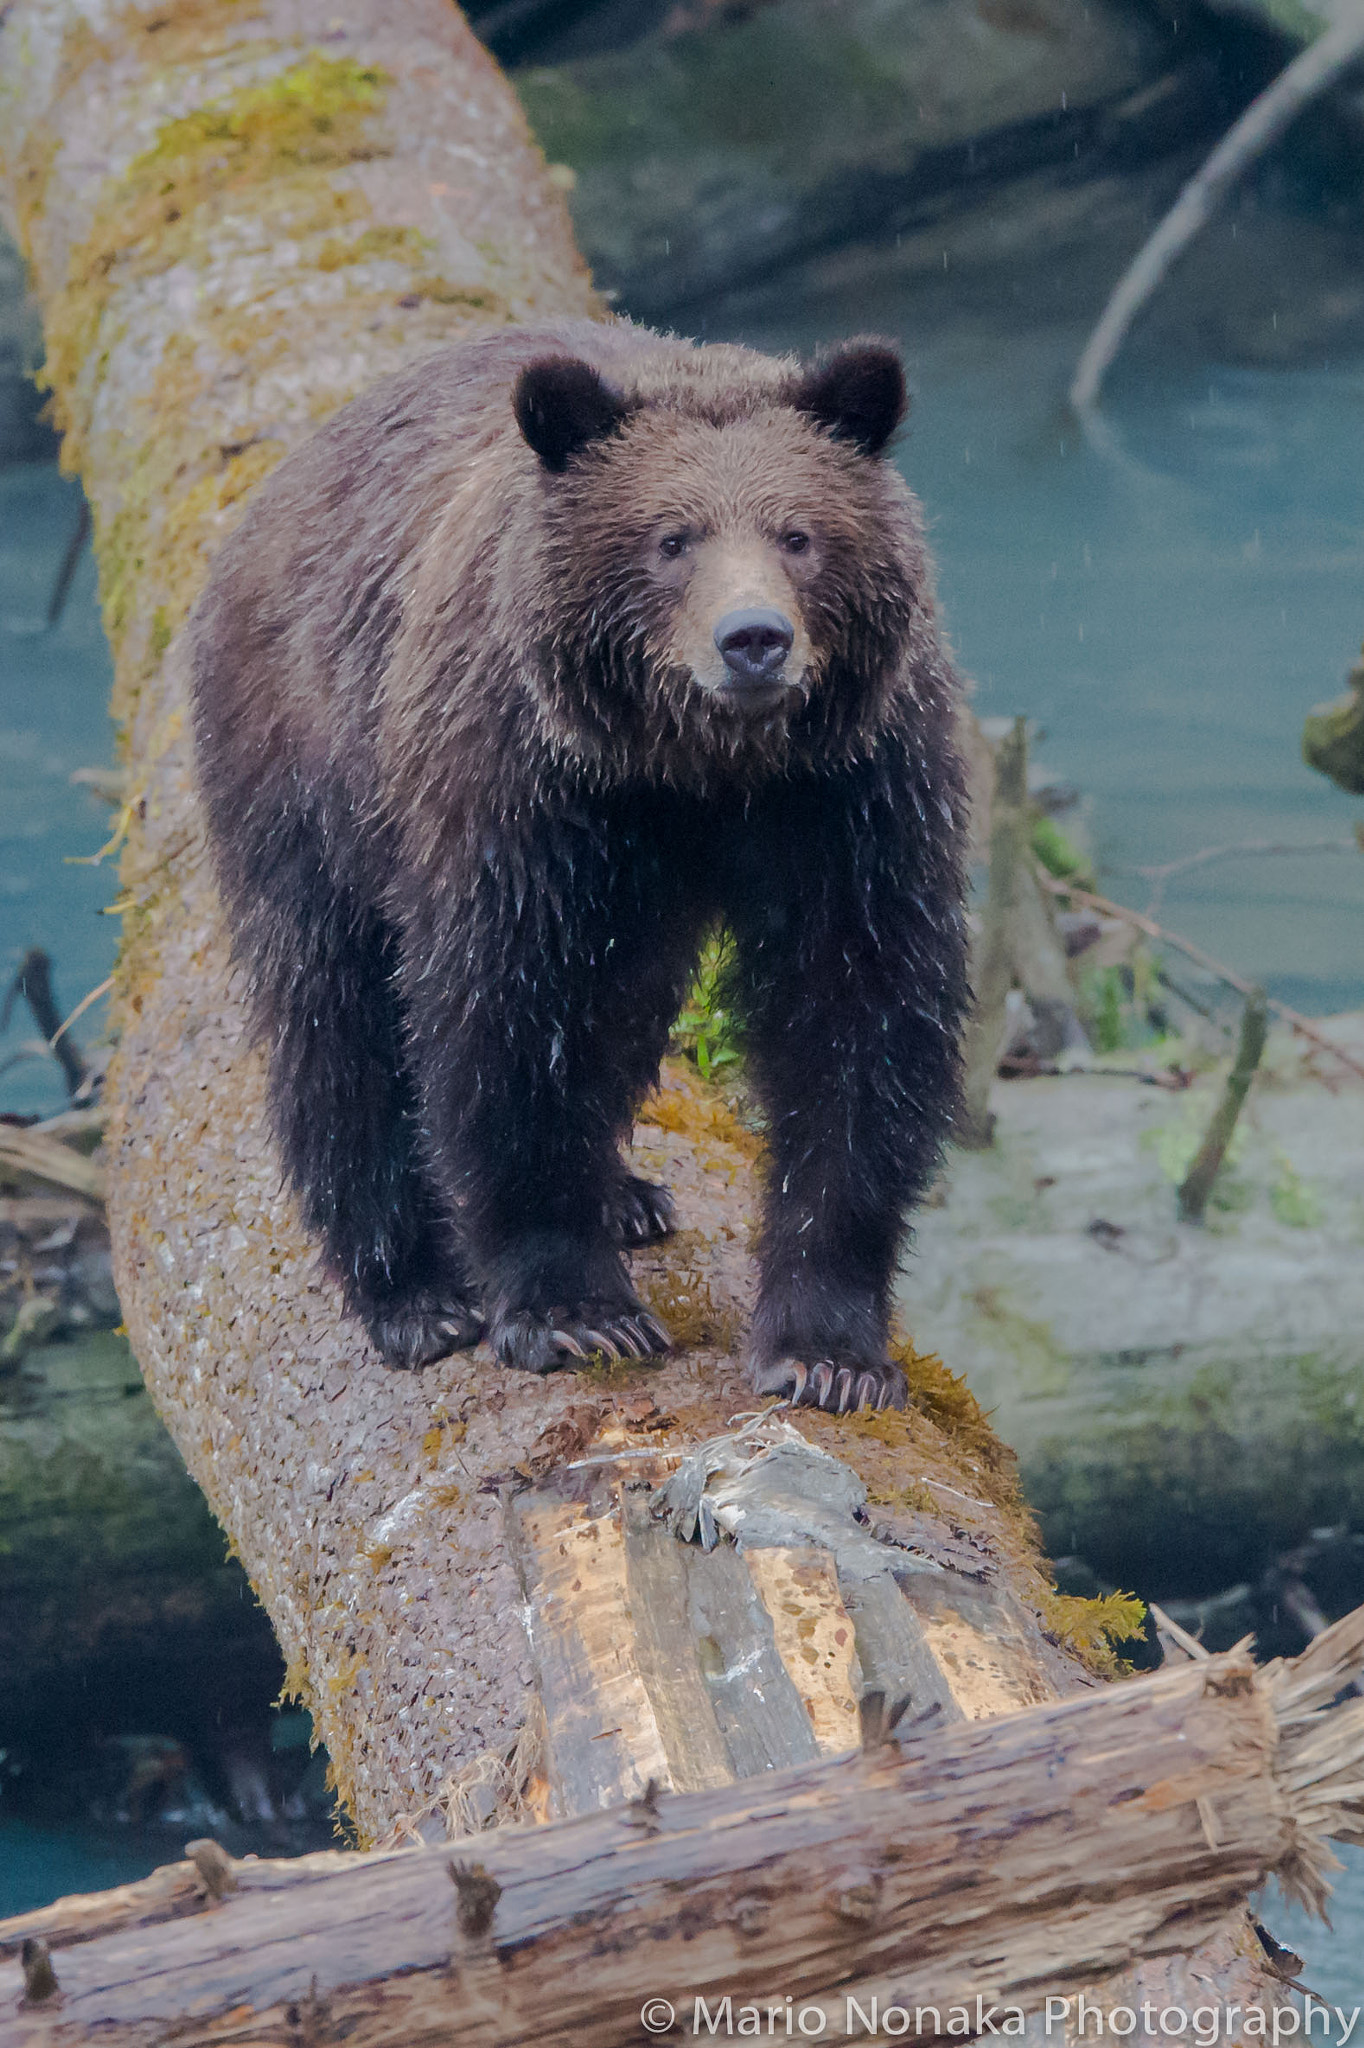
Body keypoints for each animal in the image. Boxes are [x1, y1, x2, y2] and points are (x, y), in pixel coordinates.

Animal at [191, 315, 966, 1409]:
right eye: (670, 537)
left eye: (798, 534)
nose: (754, 639)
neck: (700, 772)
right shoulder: (530, 795)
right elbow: (515, 1018)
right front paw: (574, 1310)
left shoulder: (852, 793)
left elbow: (857, 1014)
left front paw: (827, 1350)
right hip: (310, 767)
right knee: (332, 1012)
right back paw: (410, 1290)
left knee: (630, 1002)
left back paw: (628, 1193)